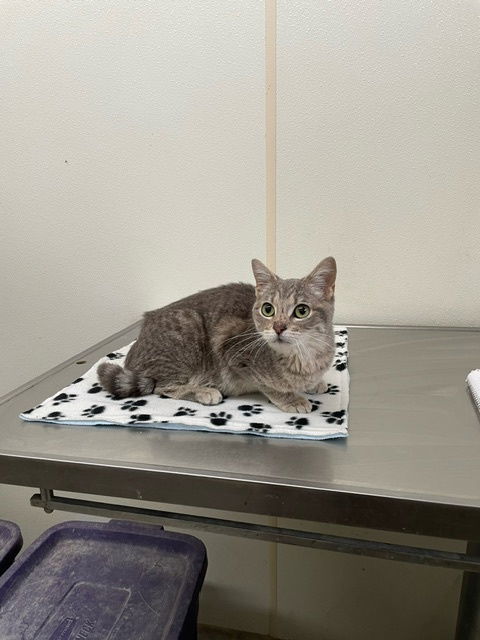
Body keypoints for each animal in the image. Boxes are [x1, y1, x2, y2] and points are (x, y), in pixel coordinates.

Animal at [96, 256, 338, 412]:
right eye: (268, 309)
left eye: (301, 311)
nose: (278, 327)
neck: (304, 357)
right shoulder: (233, 352)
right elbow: (268, 385)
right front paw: (292, 399)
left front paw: (314, 383)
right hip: (187, 329)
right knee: (161, 386)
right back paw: (203, 391)